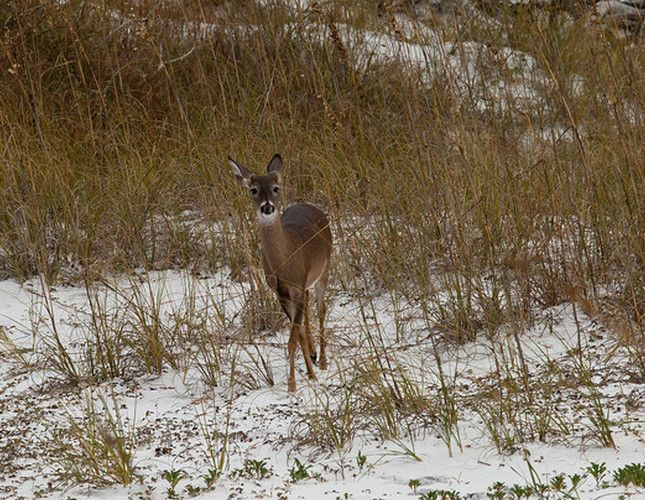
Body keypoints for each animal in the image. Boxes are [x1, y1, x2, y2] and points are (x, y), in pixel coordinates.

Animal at [228, 154, 332, 392]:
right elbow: (297, 335)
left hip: (325, 268)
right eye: (253, 190)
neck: (284, 262)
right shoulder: (280, 292)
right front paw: (308, 372)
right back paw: (313, 353)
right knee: (310, 306)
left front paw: (293, 383)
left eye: (276, 188)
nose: (267, 208)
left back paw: (322, 360)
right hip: (305, 284)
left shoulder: (297, 285)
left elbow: (293, 338)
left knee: (322, 309)